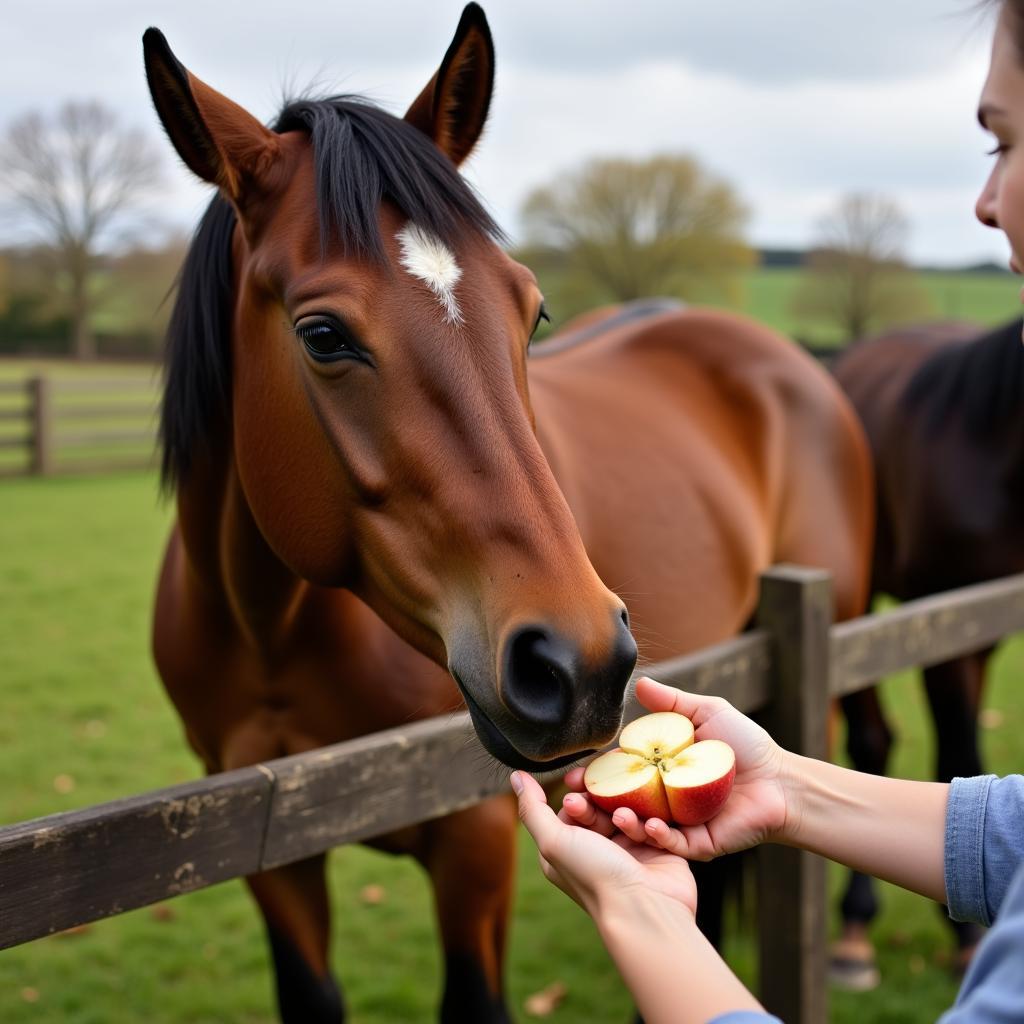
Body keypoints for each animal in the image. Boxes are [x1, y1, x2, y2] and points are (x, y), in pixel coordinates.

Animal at [144, 4, 872, 1019]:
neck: (272, 634)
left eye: (532, 312)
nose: (582, 663)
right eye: (323, 335)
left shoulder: (476, 842)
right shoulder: (265, 847)